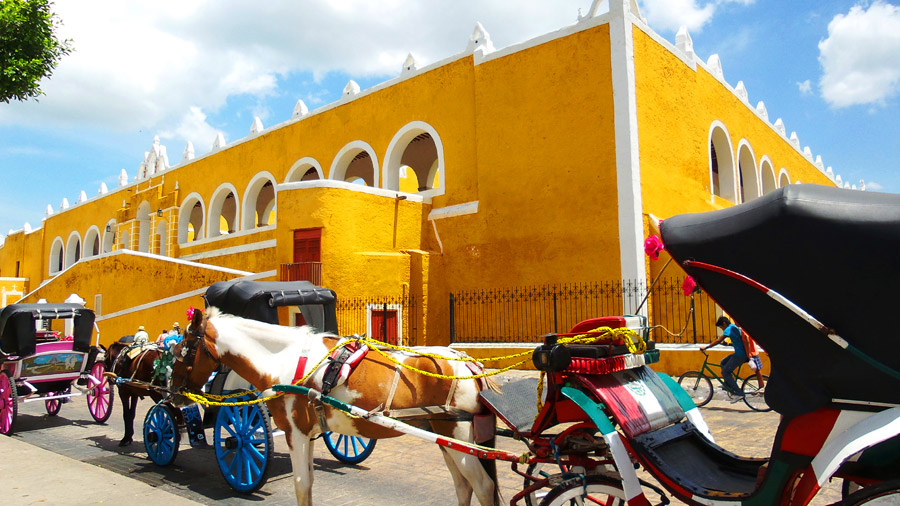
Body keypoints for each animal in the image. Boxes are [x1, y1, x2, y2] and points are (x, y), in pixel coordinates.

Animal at [172, 306, 502, 506]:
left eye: (183, 347)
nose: (173, 392)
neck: (284, 359)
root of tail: (468, 361)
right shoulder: (307, 433)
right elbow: (308, 482)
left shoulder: (296, 433)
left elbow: (301, 484)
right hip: (442, 435)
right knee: (463, 485)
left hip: (457, 433)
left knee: (483, 486)